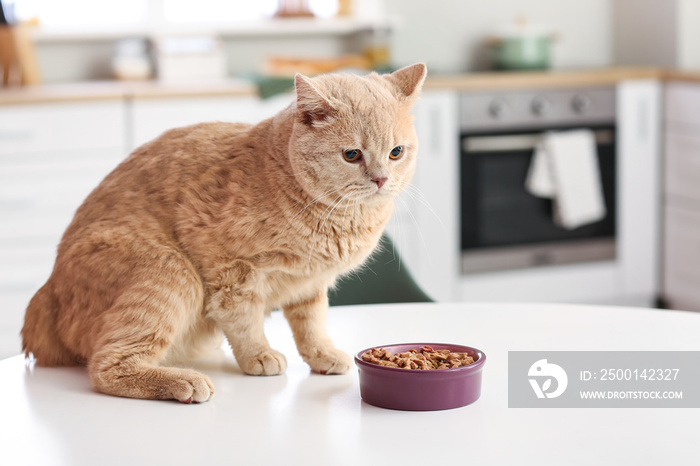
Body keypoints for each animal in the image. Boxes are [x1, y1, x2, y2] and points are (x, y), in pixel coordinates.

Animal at [20, 62, 426, 404]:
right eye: (352, 155)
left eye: (396, 152)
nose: (380, 180)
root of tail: (46, 294)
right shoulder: (230, 269)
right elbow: (244, 320)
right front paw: (259, 355)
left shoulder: (310, 284)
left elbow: (311, 325)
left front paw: (322, 355)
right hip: (170, 271)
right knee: (107, 366)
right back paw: (183, 381)